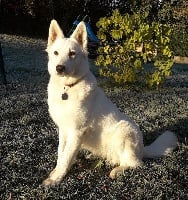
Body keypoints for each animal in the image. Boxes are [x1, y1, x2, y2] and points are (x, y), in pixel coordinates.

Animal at [42, 19, 178, 186]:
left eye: (72, 54)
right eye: (56, 53)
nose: (59, 68)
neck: (68, 87)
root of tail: (142, 149)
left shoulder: (76, 131)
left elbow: (66, 157)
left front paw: (55, 179)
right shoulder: (63, 130)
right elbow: (61, 153)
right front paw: (56, 172)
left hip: (123, 130)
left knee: (135, 163)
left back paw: (118, 170)